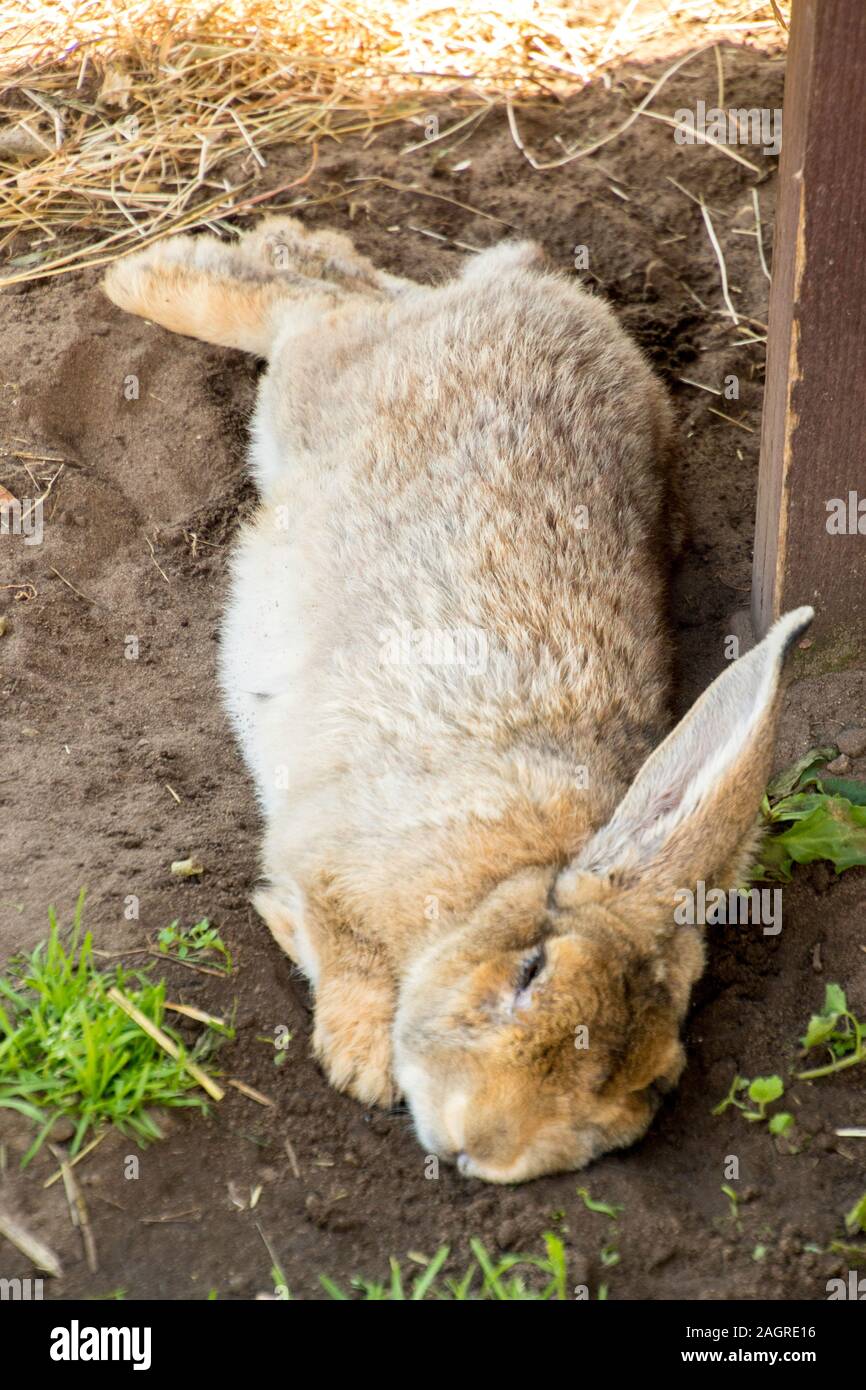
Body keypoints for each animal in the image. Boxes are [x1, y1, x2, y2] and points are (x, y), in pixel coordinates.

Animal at [103, 218, 812, 1182]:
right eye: (530, 972)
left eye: (648, 1088)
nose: (484, 1143)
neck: (493, 887)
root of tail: (538, 289)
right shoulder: (338, 865)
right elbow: (343, 948)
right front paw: (361, 1061)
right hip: (313, 391)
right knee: (312, 295)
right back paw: (140, 279)